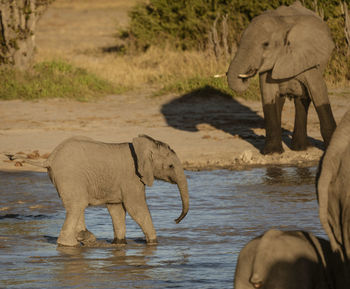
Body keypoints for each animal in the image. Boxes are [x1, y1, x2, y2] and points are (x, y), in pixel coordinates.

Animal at [27, 134, 190, 245]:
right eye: (170, 166)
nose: (176, 220)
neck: (141, 147)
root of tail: (50, 158)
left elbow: (116, 210)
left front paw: (119, 243)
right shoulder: (131, 178)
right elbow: (136, 208)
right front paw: (153, 243)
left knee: (75, 206)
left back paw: (85, 238)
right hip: (70, 176)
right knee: (78, 205)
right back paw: (71, 243)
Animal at [227, 1, 336, 154]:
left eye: (265, 44)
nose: (246, 74)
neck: (282, 23)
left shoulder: (308, 59)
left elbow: (318, 91)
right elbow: (268, 95)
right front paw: (272, 153)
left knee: (303, 99)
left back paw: (301, 149)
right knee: (282, 100)